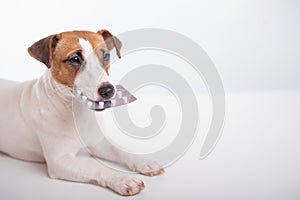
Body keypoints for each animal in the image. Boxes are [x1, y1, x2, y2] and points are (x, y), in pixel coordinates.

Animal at [0, 29, 164, 195]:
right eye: (75, 59)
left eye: (106, 55)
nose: (108, 90)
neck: (76, 112)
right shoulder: (59, 161)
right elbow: (96, 167)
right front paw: (122, 179)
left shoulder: (98, 143)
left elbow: (120, 150)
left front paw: (144, 162)